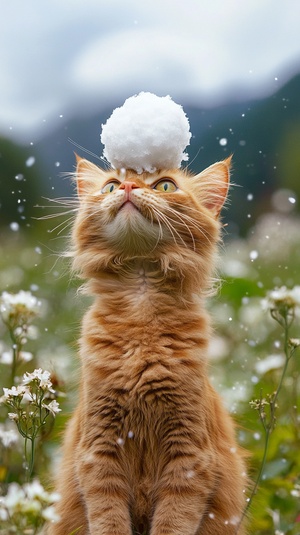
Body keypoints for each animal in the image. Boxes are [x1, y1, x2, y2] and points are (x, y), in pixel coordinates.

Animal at [45, 157, 247, 535]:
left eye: (165, 185)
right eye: (111, 186)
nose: (127, 188)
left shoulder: (189, 457)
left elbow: (173, 523)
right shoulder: (99, 450)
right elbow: (108, 522)